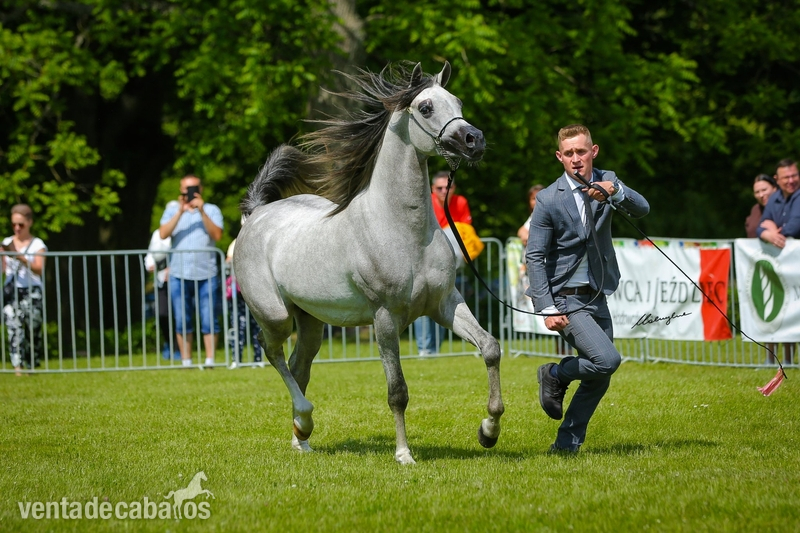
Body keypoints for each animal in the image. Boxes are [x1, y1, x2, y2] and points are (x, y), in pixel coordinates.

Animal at [233, 61, 504, 465]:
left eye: (456, 101)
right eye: (425, 107)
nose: (475, 140)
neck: (400, 228)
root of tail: (255, 215)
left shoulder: (445, 304)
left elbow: (490, 348)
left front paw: (488, 430)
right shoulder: (385, 317)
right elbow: (397, 391)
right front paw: (404, 455)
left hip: (311, 322)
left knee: (299, 365)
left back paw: (302, 437)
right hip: (276, 315)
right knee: (273, 353)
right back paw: (306, 418)